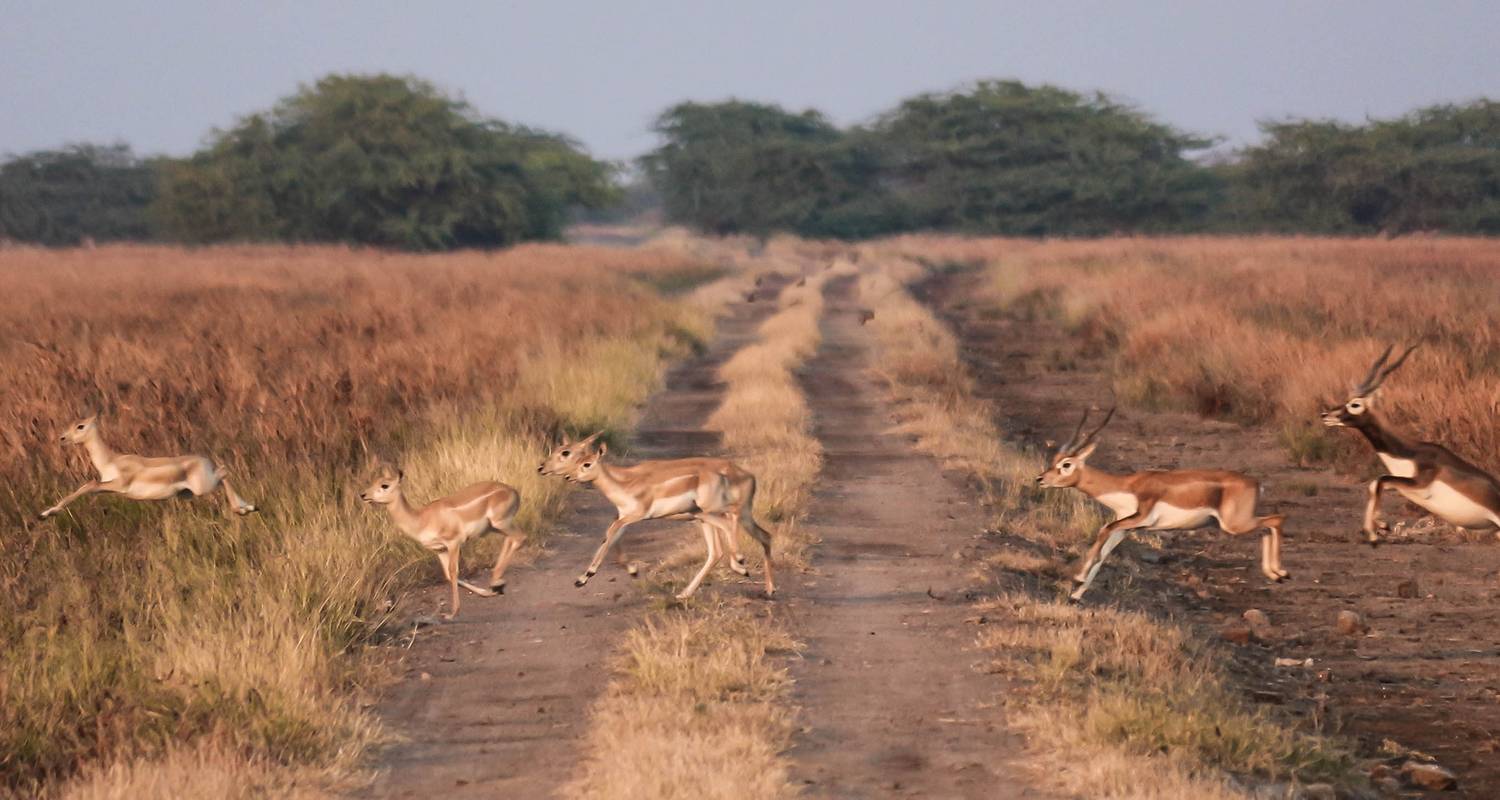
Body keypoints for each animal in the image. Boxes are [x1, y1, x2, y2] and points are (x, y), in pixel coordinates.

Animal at [40, 414, 258, 522]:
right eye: (71, 423)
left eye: (81, 426)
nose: (62, 438)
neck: (111, 460)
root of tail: (204, 460)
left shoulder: (117, 485)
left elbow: (88, 485)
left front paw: (47, 513)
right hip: (190, 492)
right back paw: (247, 507)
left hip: (203, 487)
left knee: (224, 471)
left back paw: (244, 508)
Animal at [358, 462, 528, 618]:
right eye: (373, 481)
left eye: (384, 485)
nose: (363, 495)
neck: (421, 519)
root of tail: (513, 491)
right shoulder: (439, 549)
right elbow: (447, 575)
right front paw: (486, 593)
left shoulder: (453, 543)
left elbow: (453, 572)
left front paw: (452, 613)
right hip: (496, 527)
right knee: (511, 540)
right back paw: (496, 585)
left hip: (500, 523)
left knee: (520, 537)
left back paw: (496, 583)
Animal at [540, 435, 774, 600]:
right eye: (575, 458)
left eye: (567, 453)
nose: (542, 468)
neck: (625, 482)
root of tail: (747, 475)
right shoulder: (624, 516)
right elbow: (611, 539)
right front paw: (632, 571)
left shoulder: (633, 516)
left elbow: (609, 536)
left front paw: (584, 577)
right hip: (709, 517)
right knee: (745, 541)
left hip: (714, 512)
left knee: (732, 527)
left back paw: (742, 565)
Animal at [1038, 405, 1296, 600]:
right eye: (1054, 460)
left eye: (1066, 464)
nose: (1040, 479)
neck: (1127, 486)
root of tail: (1255, 482)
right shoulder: (1128, 527)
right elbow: (1104, 551)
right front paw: (1077, 594)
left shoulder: (1139, 518)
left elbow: (1103, 530)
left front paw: (1077, 577)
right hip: (1238, 524)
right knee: (1266, 527)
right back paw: (1276, 575)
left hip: (1234, 524)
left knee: (1278, 518)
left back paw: (1281, 572)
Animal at [1326, 343, 1500, 543]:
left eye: (1355, 404)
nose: (1326, 415)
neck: (1409, 452)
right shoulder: (1404, 485)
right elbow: (1376, 484)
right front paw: (1382, 525)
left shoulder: (1420, 485)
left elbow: (1379, 479)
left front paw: (1374, 531)